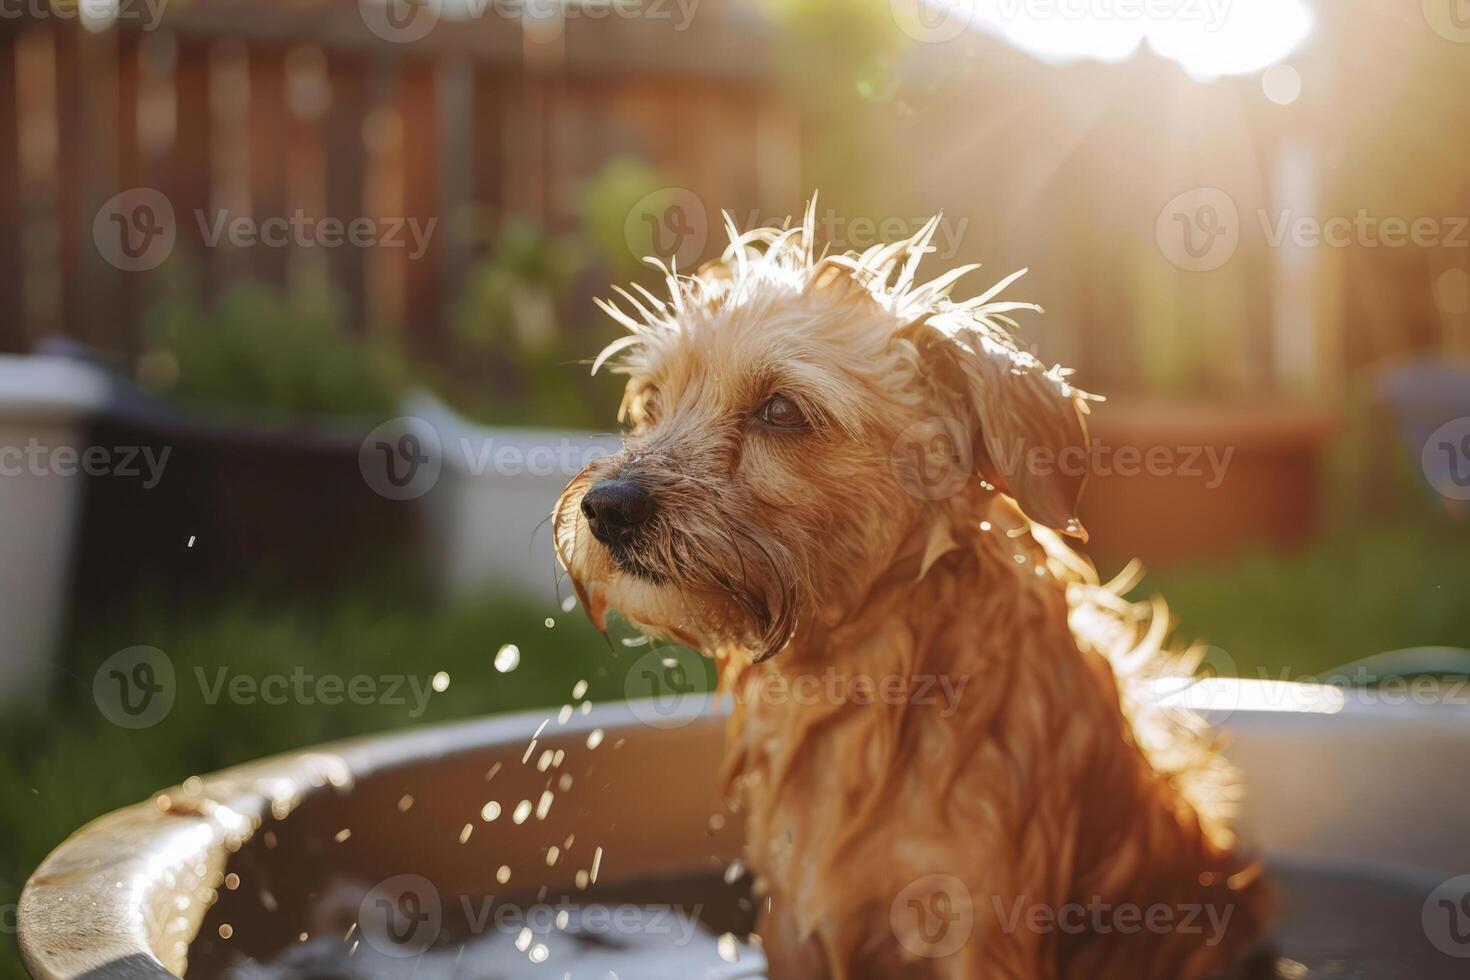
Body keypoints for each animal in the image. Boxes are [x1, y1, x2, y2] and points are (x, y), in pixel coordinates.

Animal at [555, 205, 1270, 975]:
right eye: (653, 402)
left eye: (781, 410)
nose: (607, 507)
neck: (859, 684)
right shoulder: (792, 924)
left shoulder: (978, 935)